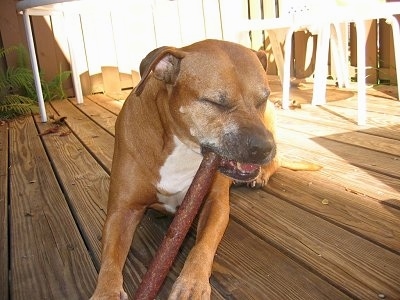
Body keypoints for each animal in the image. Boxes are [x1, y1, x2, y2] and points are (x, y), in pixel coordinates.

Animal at [90, 39, 318, 300]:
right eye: (216, 103)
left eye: (263, 98)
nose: (264, 147)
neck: (181, 146)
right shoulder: (123, 211)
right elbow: (109, 261)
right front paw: (106, 292)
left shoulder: (215, 203)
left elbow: (202, 247)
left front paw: (192, 283)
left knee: (278, 161)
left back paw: (261, 174)